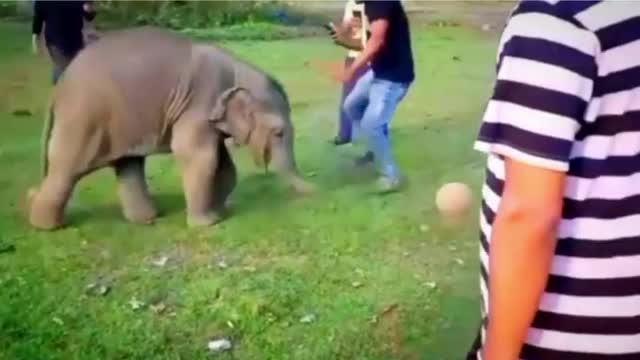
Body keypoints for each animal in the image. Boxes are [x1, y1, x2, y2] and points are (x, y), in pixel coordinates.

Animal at [26, 27, 314, 231]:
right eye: (278, 132)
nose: (315, 194)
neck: (238, 69)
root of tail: (61, 84)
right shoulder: (199, 102)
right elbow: (199, 155)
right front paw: (207, 224)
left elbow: (224, 165)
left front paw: (219, 213)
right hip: (83, 118)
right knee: (67, 166)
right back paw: (47, 227)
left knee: (128, 164)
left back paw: (147, 219)